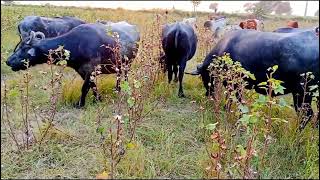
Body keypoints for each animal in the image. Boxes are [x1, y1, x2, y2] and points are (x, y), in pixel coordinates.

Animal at [189, 29, 318, 129]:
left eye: (203, 76)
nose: (208, 93)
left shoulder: (236, 85)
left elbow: (239, 102)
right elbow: (229, 99)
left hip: (302, 94)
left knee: (306, 114)